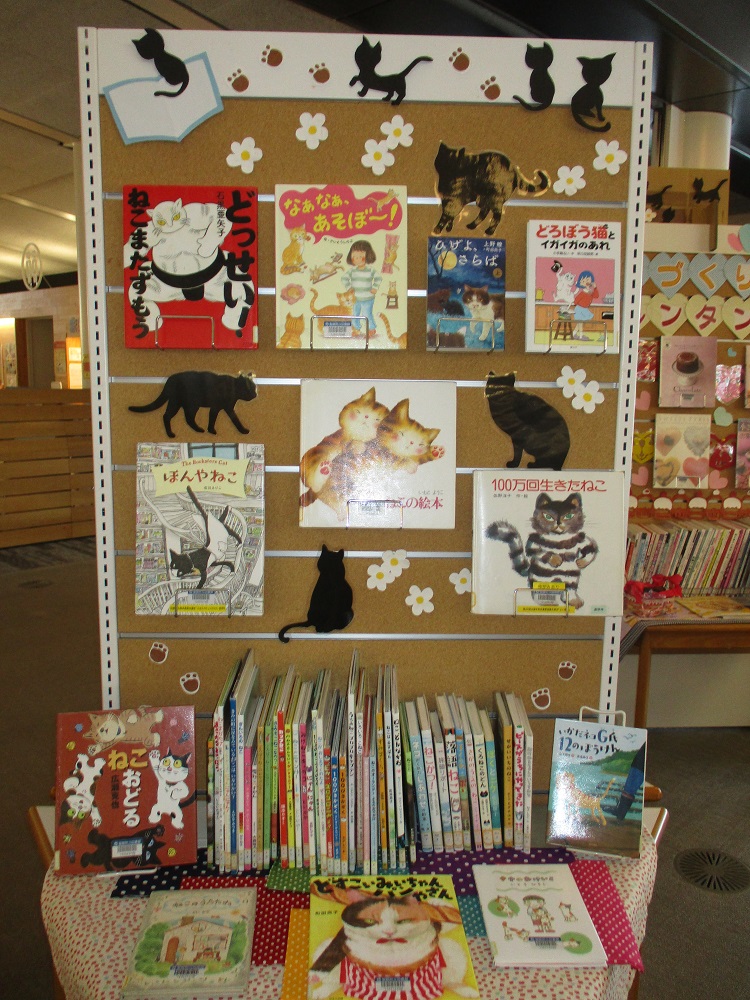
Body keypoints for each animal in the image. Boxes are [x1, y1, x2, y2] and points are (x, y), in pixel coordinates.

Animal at [128, 370, 257, 438]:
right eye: (250, 389)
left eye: (255, 388)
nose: (255, 394)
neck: (233, 389)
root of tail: (170, 379)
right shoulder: (226, 408)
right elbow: (235, 420)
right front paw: (243, 430)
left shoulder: (216, 407)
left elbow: (212, 418)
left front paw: (211, 430)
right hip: (182, 403)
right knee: (169, 416)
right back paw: (171, 434)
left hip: (185, 404)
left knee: (185, 418)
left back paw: (197, 429)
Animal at [309, 884, 478, 1000]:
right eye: (370, 921)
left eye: (402, 921)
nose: (389, 932)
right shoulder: (343, 940)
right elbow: (333, 952)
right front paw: (314, 976)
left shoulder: (433, 928)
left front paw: (436, 902)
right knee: (336, 980)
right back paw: (319, 992)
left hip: (453, 954)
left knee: (450, 980)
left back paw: (467, 991)